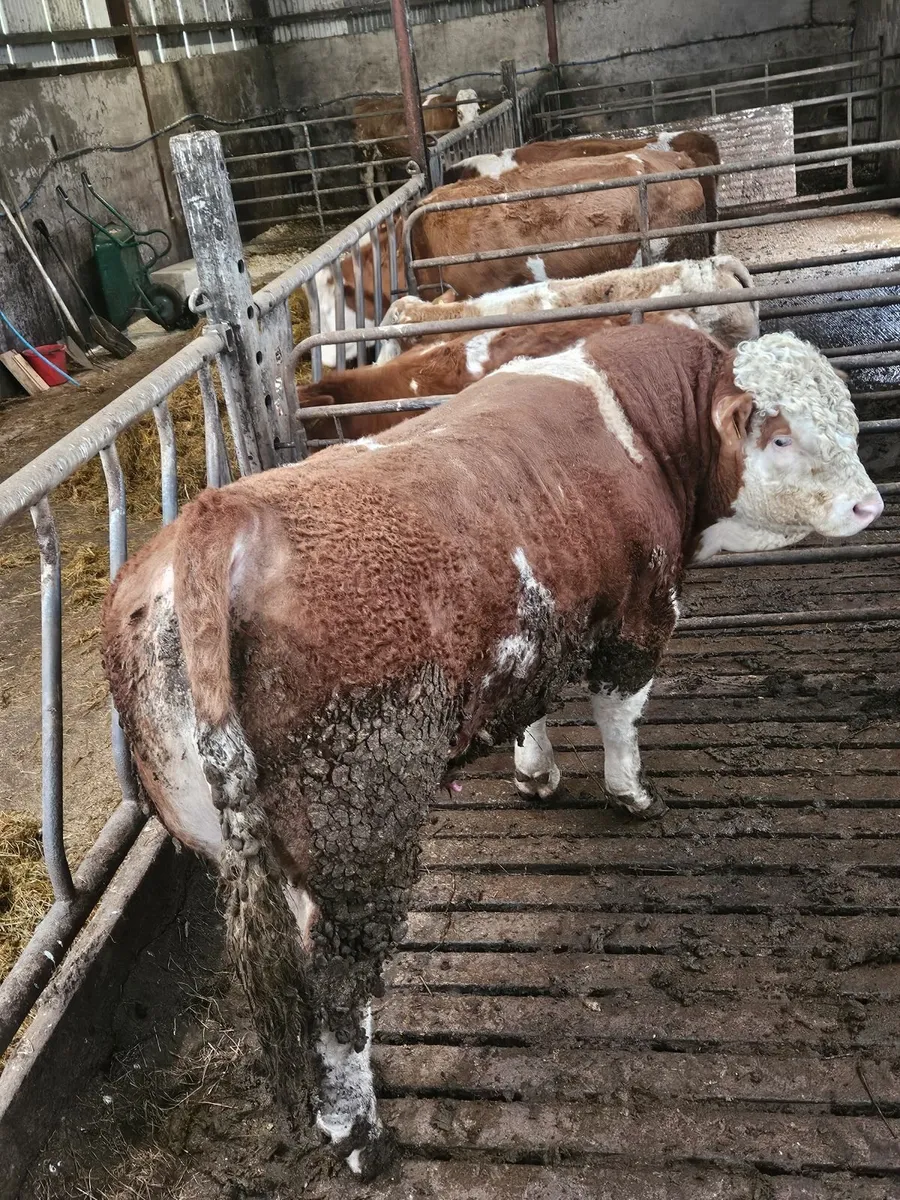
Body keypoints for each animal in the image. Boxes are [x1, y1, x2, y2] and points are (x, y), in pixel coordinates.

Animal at [101, 326, 883, 1181]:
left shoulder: (534, 634)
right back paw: (360, 1136)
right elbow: (619, 713)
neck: (641, 427)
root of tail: (220, 513)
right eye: (780, 437)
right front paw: (632, 794)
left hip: (246, 837)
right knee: (340, 988)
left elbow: (533, 708)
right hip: (359, 828)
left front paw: (536, 774)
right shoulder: (642, 611)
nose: (870, 503)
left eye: (845, 414)